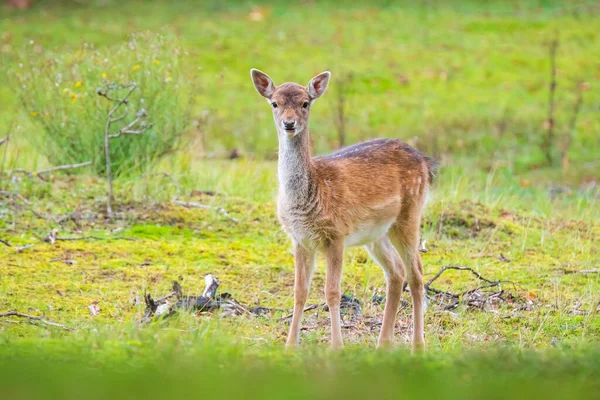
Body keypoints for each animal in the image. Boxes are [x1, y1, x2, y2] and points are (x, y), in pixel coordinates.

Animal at [251, 68, 438, 350]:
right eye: (275, 103)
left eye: (305, 103)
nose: (289, 123)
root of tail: (425, 162)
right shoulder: (299, 239)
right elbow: (299, 292)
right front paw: (290, 346)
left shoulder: (336, 233)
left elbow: (332, 292)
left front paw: (336, 347)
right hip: (376, 233)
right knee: (396, 272)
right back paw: (383, 343)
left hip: (410, 213)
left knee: (416, 274)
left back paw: (418, 345)